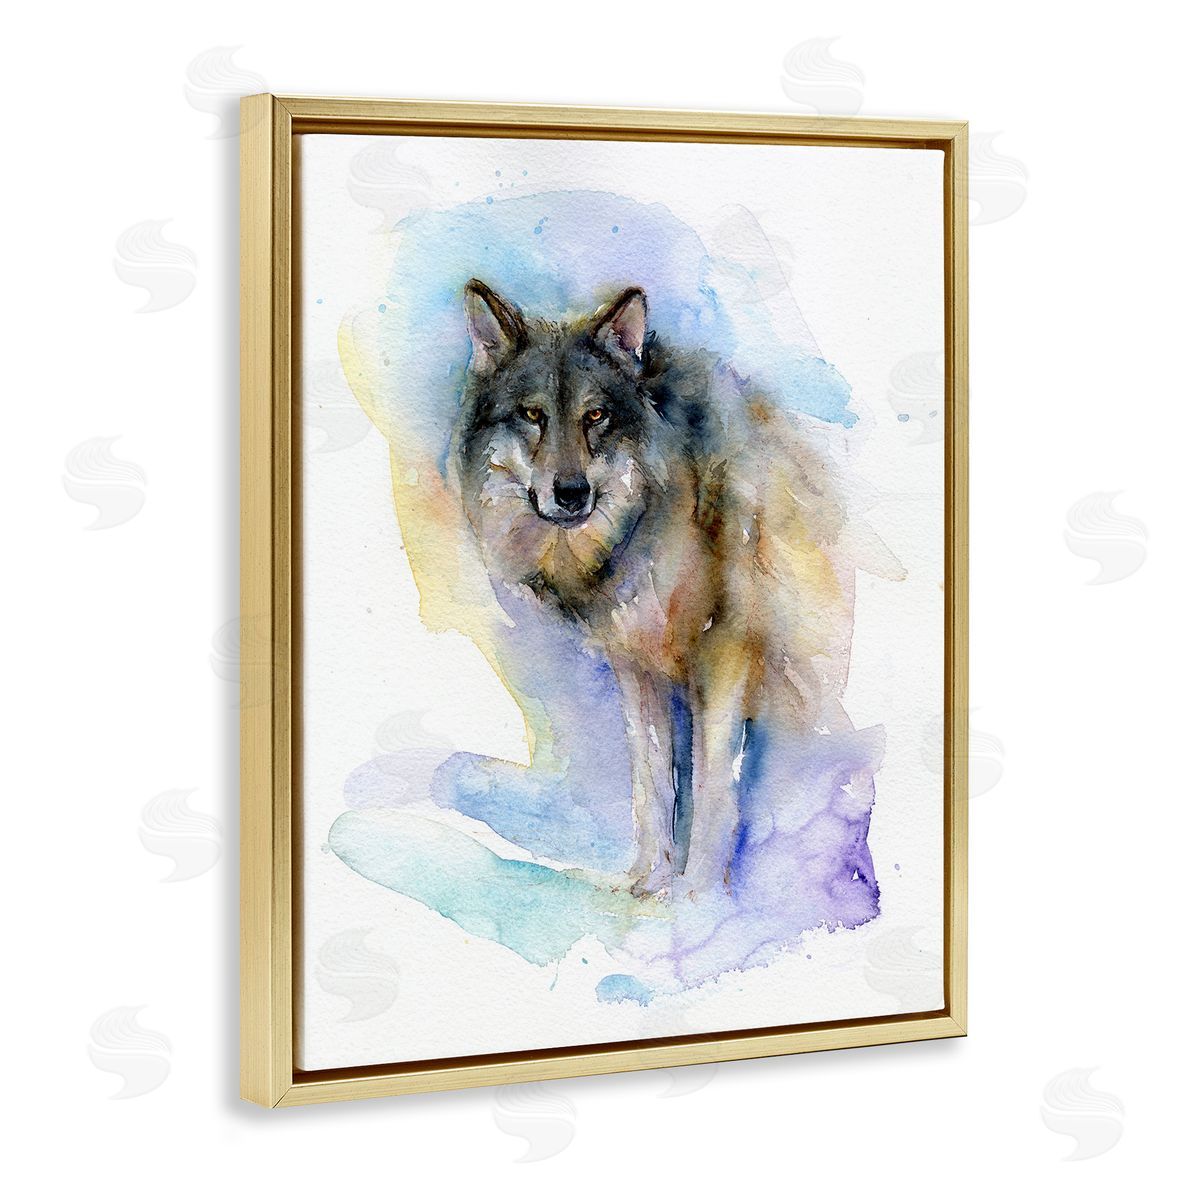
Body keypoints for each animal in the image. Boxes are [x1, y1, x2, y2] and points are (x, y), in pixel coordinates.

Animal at [452, 279, 873, 898]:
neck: (653, 515)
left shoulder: (722, 654)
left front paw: (698, 897)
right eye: (532, 415)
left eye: (595, 415)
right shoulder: (637, 667)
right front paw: (647, 882)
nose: (571, 493)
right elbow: (653, 781)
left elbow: (712, 788)